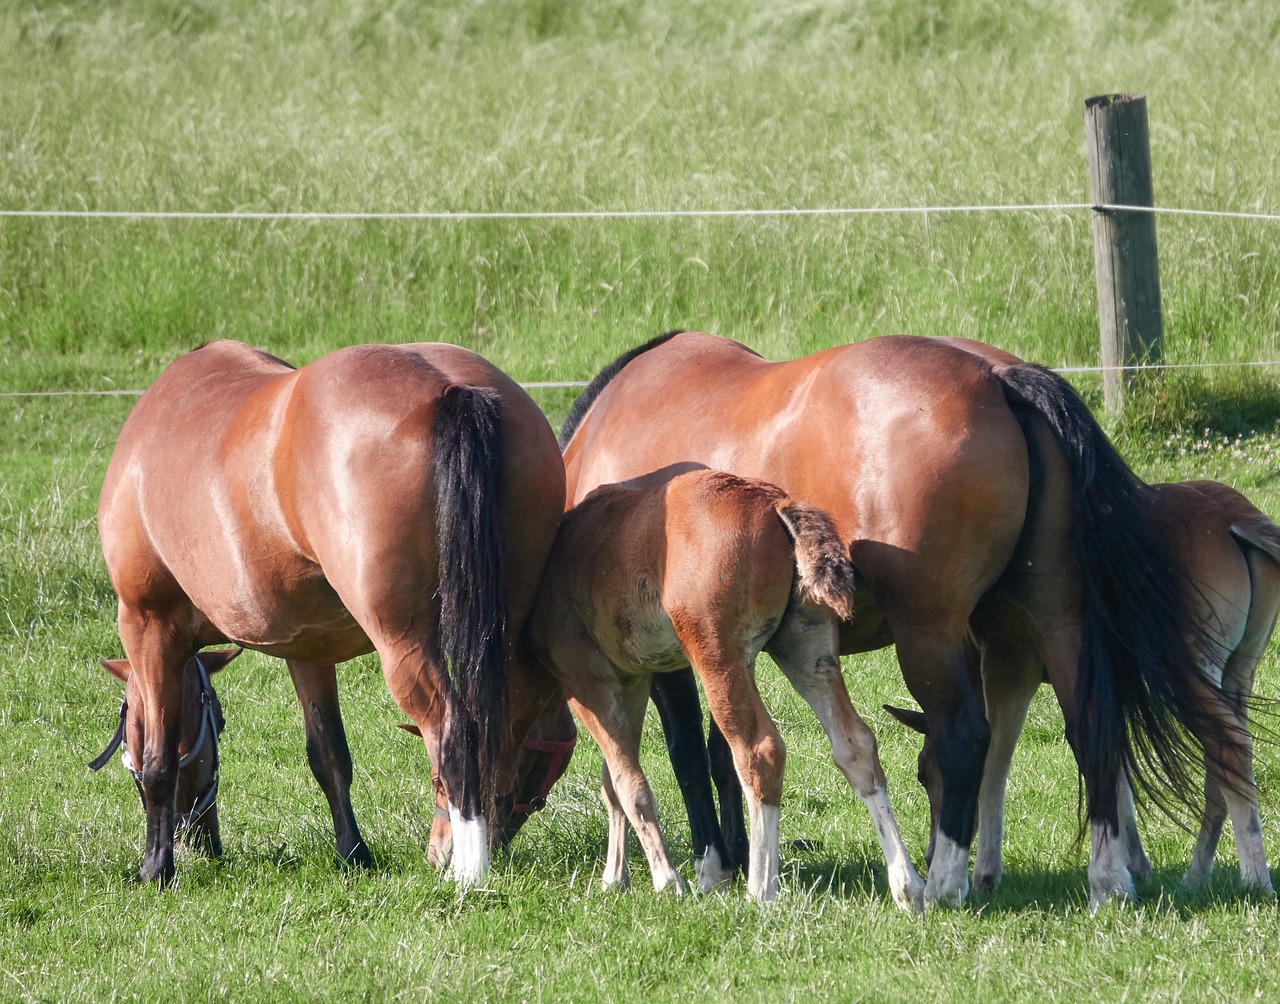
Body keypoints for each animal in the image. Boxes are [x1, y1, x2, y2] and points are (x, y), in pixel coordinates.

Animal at [97, 338, 563, 886]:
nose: (203, 840)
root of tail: (453, 389)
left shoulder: (147, 627)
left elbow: (158, 761)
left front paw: (156, 869)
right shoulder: (306, 649)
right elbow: (329, 754)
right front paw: (353, 852)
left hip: (404, 644)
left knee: (455, 731)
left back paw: (468, 870)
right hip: (499, 640)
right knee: (497, 731)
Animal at [514, 466, 926, 906]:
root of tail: (774, 503)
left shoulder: (584, 681)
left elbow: (629, 782)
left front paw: (667, 880)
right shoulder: (632, 681)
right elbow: (614, 778)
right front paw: (614, 877)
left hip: (718, 658)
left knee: (758, 751)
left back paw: (760, 889)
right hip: (806, 648)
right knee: (855, 745)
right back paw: (907, 886)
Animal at [558, 330, 1239, 911]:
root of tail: (1002, 378)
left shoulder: (674, 655)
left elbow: (688, 753)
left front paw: (713, 868)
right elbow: (717, 754)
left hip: (928, 634)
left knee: (964, 737)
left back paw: (942, 884)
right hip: (1056, 618)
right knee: (1090, 729)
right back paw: (1106, 881)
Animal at [890, 478, 1280, 896]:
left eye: (923, 772)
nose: (930, 853)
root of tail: (1236, 519)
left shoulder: (1009, 663)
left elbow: (998, 759)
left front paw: (985, 874)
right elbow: (1116, 765)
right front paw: (1134, 862)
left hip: (1190, 669)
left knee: (1230, 749)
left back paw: (1254, 879)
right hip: (1239, 672)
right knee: (1222, 768)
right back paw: (1197, 876)